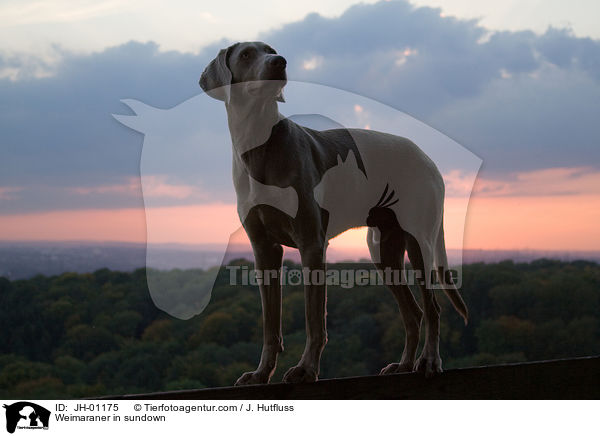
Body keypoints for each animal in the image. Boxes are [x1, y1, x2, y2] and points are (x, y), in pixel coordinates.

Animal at [199, 39, 466, 384]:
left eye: (270, 49)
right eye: (246, 54)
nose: (280, 62)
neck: (260, 147)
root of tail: (427, 158)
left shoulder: (311, 244)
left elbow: (314, 320)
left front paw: (306, 369)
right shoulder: (264, 250)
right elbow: (270, 323)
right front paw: (261, 373)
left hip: (419, 242)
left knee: (432, 308)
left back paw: (430, 361)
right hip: (383, 251)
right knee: (413, 313)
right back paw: (405, 364)